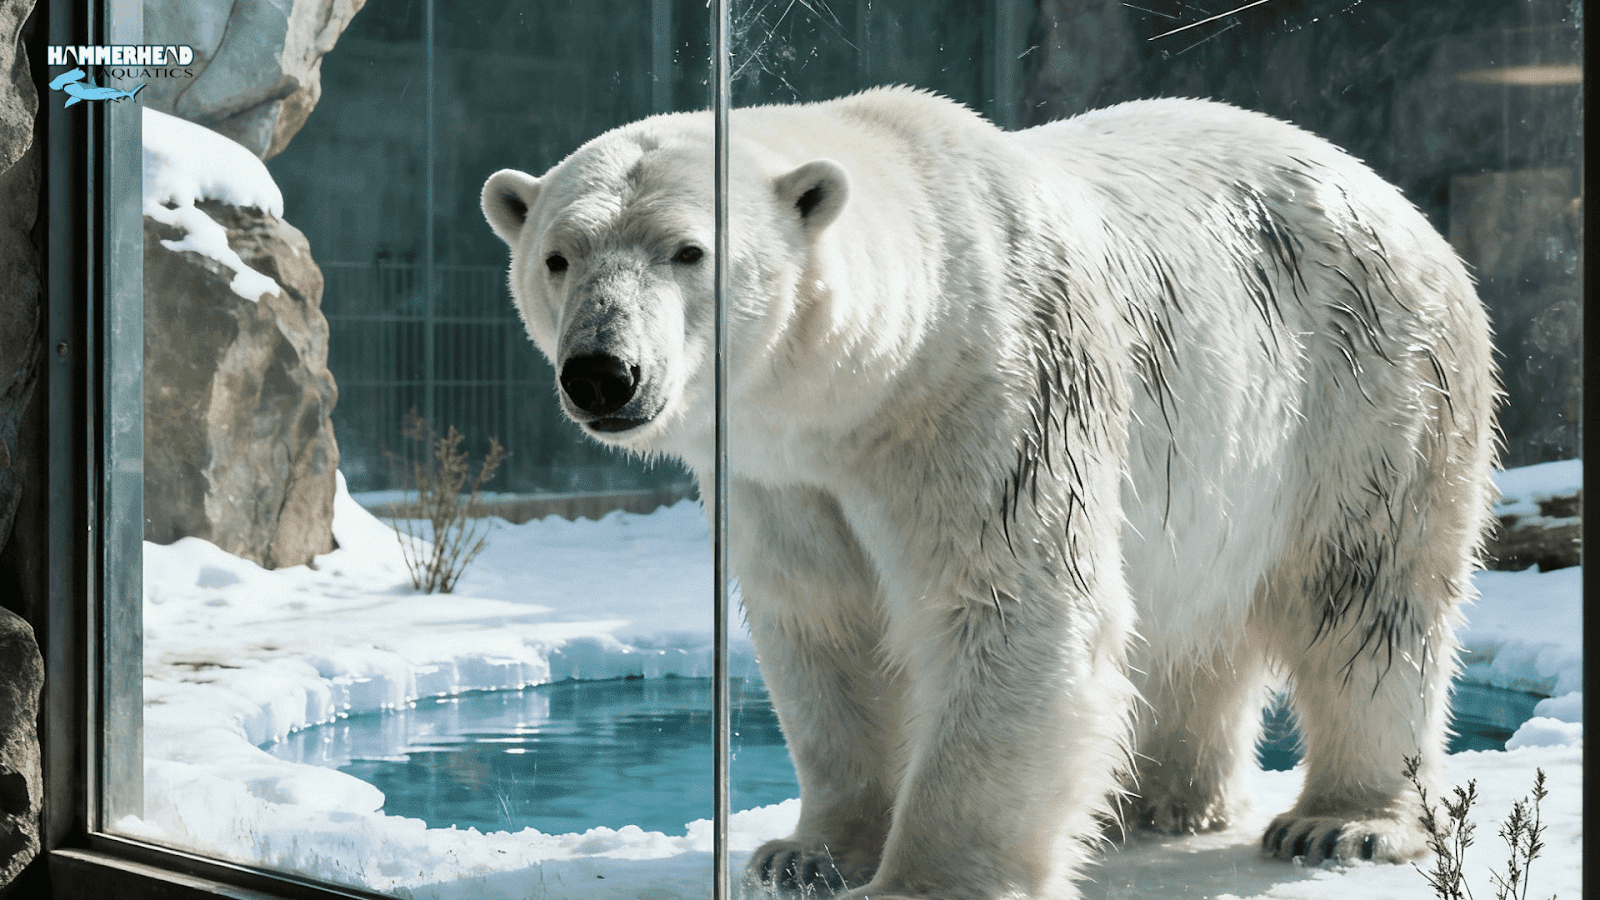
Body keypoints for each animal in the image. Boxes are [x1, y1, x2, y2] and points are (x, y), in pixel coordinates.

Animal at [481, 87, 1497, 899]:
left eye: (688, 251)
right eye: (559, 256)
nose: (602, 372)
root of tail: (1391, 196)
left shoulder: (990, 391)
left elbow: (1013, 605)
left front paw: (924, 881)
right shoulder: (782, 472)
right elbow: (824, 621)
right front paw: (807, 853)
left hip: (1367, 384)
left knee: (1366, 592)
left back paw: (1342, 821)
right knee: (1186, 627)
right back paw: (1160, 801)